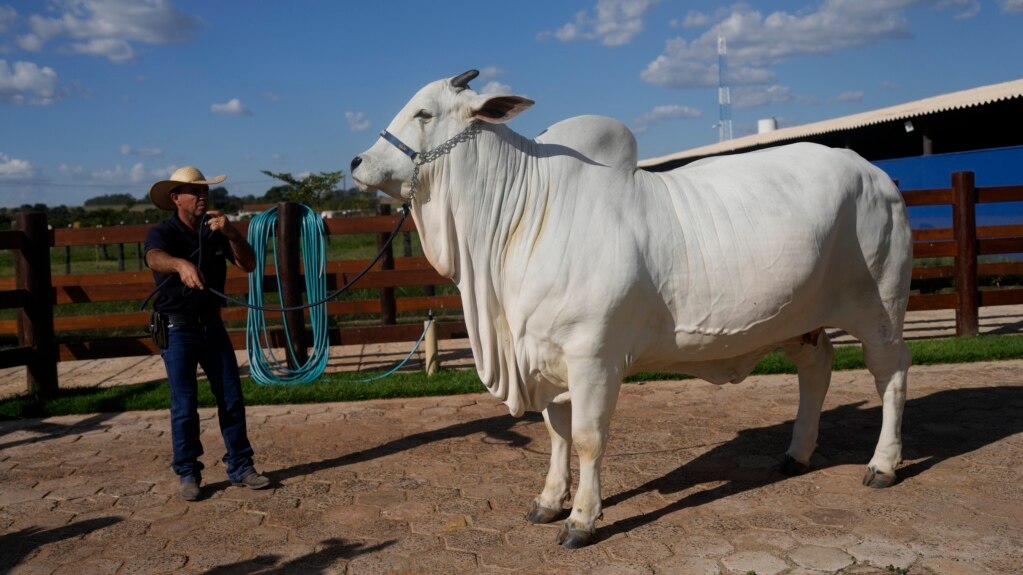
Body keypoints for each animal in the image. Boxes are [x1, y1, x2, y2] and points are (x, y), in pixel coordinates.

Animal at [349, 69, 912, 544]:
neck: (522, 218)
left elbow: (588, 438)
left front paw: (581, 519)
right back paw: (797, 453)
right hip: (802, 321)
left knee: (891, 375)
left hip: (880, 310)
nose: (357, 162)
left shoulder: (593, 357)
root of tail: (875, 173)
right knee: (817, 370)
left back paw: (883, 465)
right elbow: (556, 434)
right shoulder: (546, 357)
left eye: (424, 113)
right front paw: (549, 501)